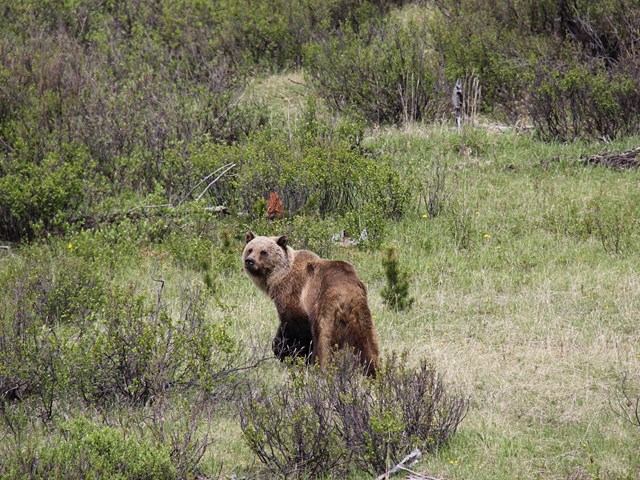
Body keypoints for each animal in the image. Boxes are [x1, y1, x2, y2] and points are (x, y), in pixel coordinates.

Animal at [242, 232, 379, 375]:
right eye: (250, 249)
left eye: (263, 252)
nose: (250, 261)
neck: (279, 278)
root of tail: (346, 292)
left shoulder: (293, 296)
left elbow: (293, 328)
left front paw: (288, 353)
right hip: (360, 312)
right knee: (368, 343)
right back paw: (373, 371)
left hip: (325, 309)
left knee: (323, 341)